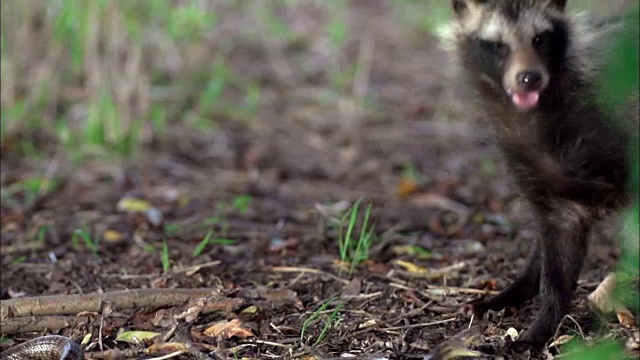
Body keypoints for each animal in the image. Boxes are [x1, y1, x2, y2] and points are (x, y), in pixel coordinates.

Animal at [444, 0, 636, 352]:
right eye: (497, 44)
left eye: (539, 39)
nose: (529, 78)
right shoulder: (541, 180)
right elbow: (555, 260)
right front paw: (540, 322)